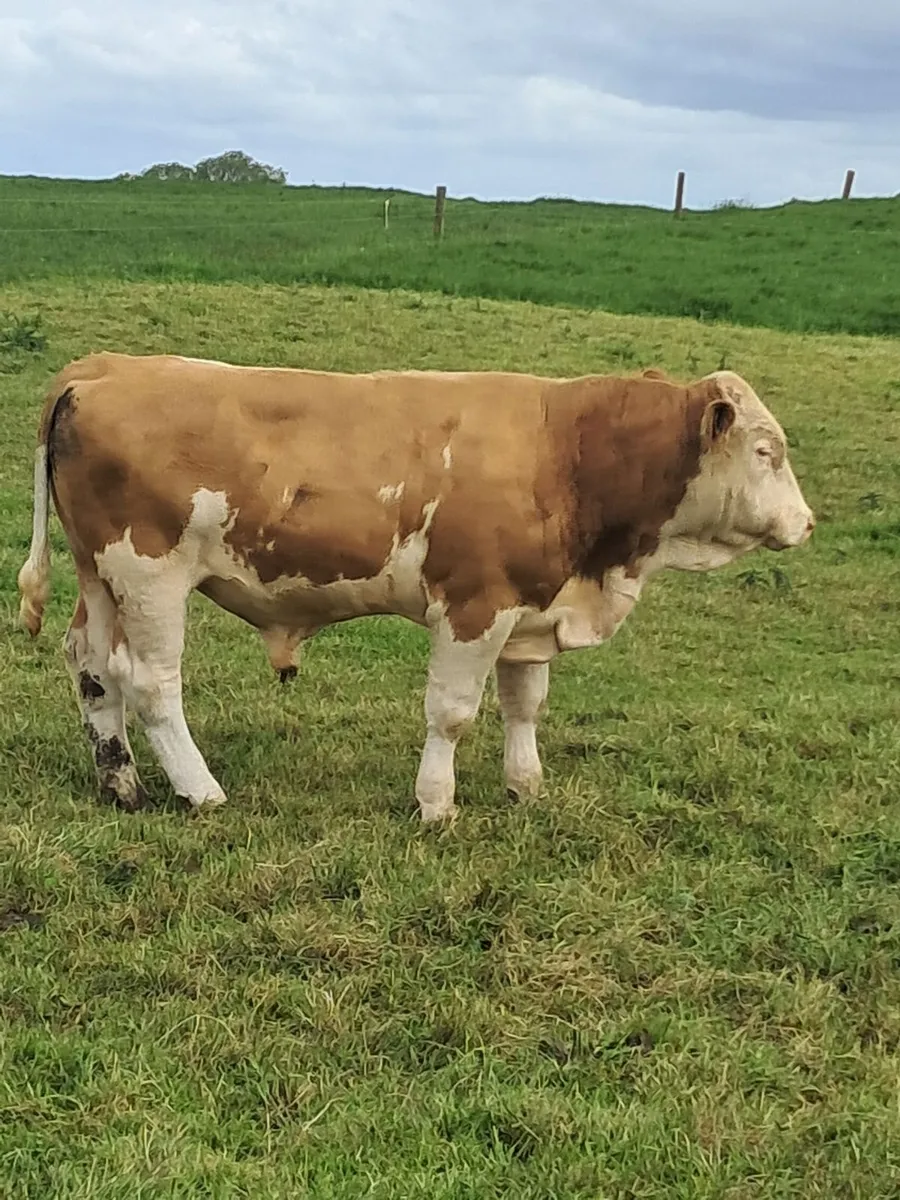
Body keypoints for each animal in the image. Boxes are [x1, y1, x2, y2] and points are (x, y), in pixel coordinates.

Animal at [17, 353, 814, 820]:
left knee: (92, 668)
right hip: (149, 574)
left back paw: (120, 783)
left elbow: (525, 705)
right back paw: (200, 791)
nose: (807, 523)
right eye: (766, 451)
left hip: (100, 576)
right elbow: (453, 713)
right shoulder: (474, 605)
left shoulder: (529, 611)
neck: (566, 453)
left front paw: (526, 787)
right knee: (150, 682)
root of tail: (102, 368)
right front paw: (437, 805)